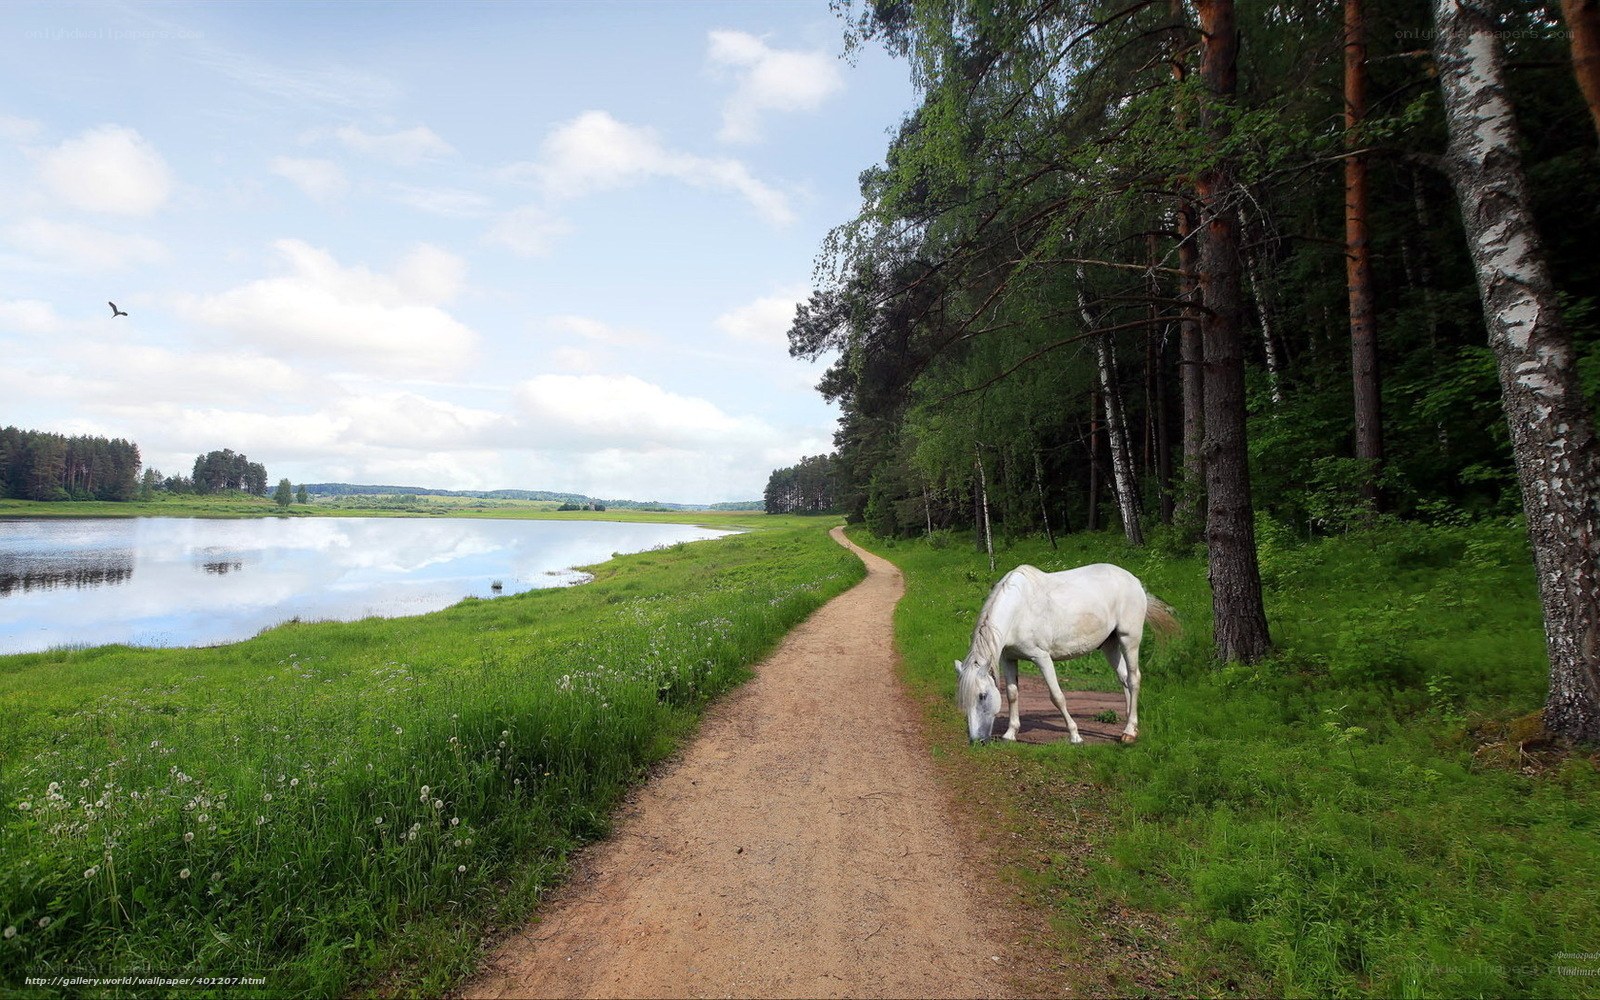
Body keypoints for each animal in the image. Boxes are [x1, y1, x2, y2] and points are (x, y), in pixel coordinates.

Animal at [955, 563, 1178, 745]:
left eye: (982, 696)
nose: (977, 741)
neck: (1018, 610)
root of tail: (1135, 581)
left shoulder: (1042, 658)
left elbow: (1057, 696)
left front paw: (1075, 735)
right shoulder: (1009, 658)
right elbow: (1012, 694)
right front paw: (1010, 734)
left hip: (1129, 639)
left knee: (1133, 679)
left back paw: (1130, 732)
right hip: (1111, 645)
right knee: (1124, 678)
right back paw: (1130, 723)